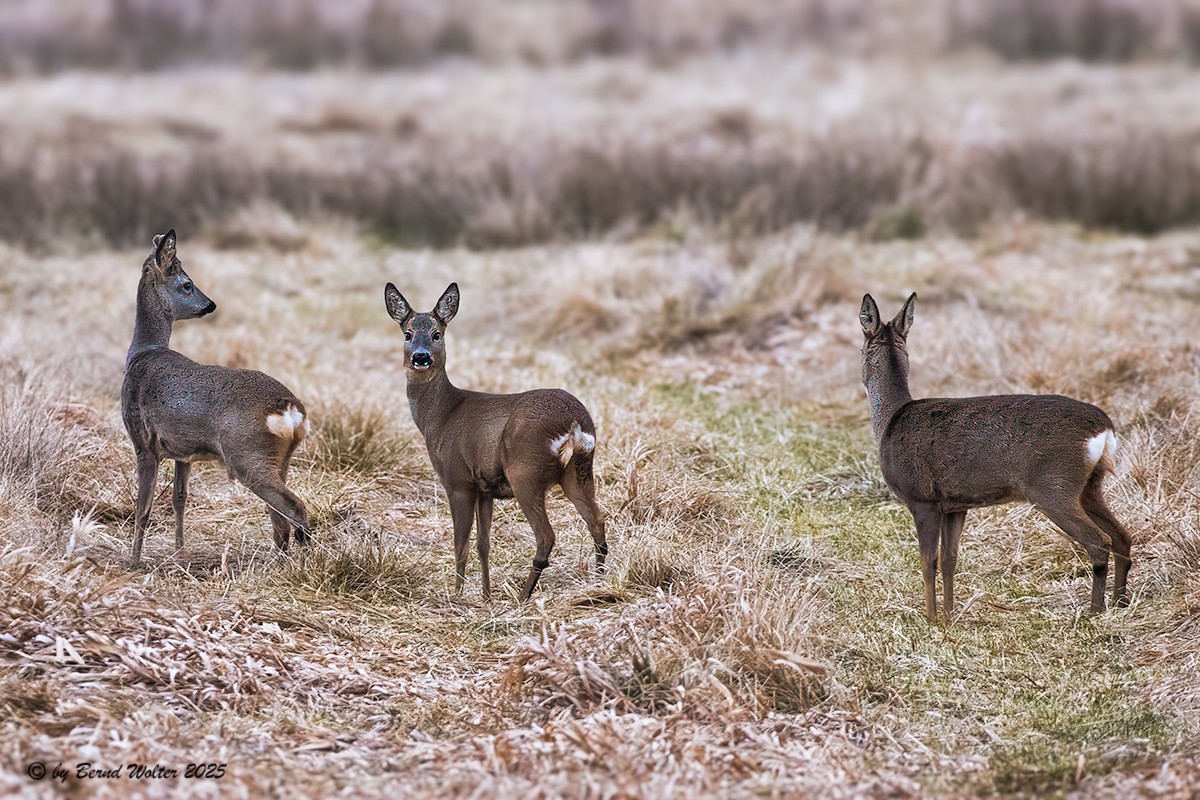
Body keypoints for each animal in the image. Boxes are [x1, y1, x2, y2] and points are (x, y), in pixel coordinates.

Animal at [121, 230, 312, 564]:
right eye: (187, 284)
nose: (210, 304)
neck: (143, 353)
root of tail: (291, 410)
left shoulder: (143, 441)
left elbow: (143, 509)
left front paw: (133, 562)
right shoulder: (182, 452)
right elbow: (179, 499)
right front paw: (179, 552)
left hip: (247, 454)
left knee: (294, 509)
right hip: (280, 459)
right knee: (280, 519)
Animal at [384, 281, 608, 600]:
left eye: (437, 333)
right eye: (408, 333)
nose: (421, 356)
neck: (440, 416)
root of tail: (574, 422)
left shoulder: (458, 480)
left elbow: (460, 545)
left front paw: (457, 596)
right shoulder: (485, 489)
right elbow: (483, 544)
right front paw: (486, 596)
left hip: (525, 470)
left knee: (546, 536)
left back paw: (522, 598)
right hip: (578, 471)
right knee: (597, 522)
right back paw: (598, 582)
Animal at [859, 292, 1132, 622]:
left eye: (859, 349)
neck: (889, 421)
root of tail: (1103, 429)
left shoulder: (922, 499)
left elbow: (927, 562)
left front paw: (931, 619)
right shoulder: (955, 505)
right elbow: (950, 559)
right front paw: (950, 616)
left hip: (1053, 485)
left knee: (1099, 541)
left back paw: (1094, 612)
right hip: (1090, 484)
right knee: (1123, 536)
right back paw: (1120, 602)